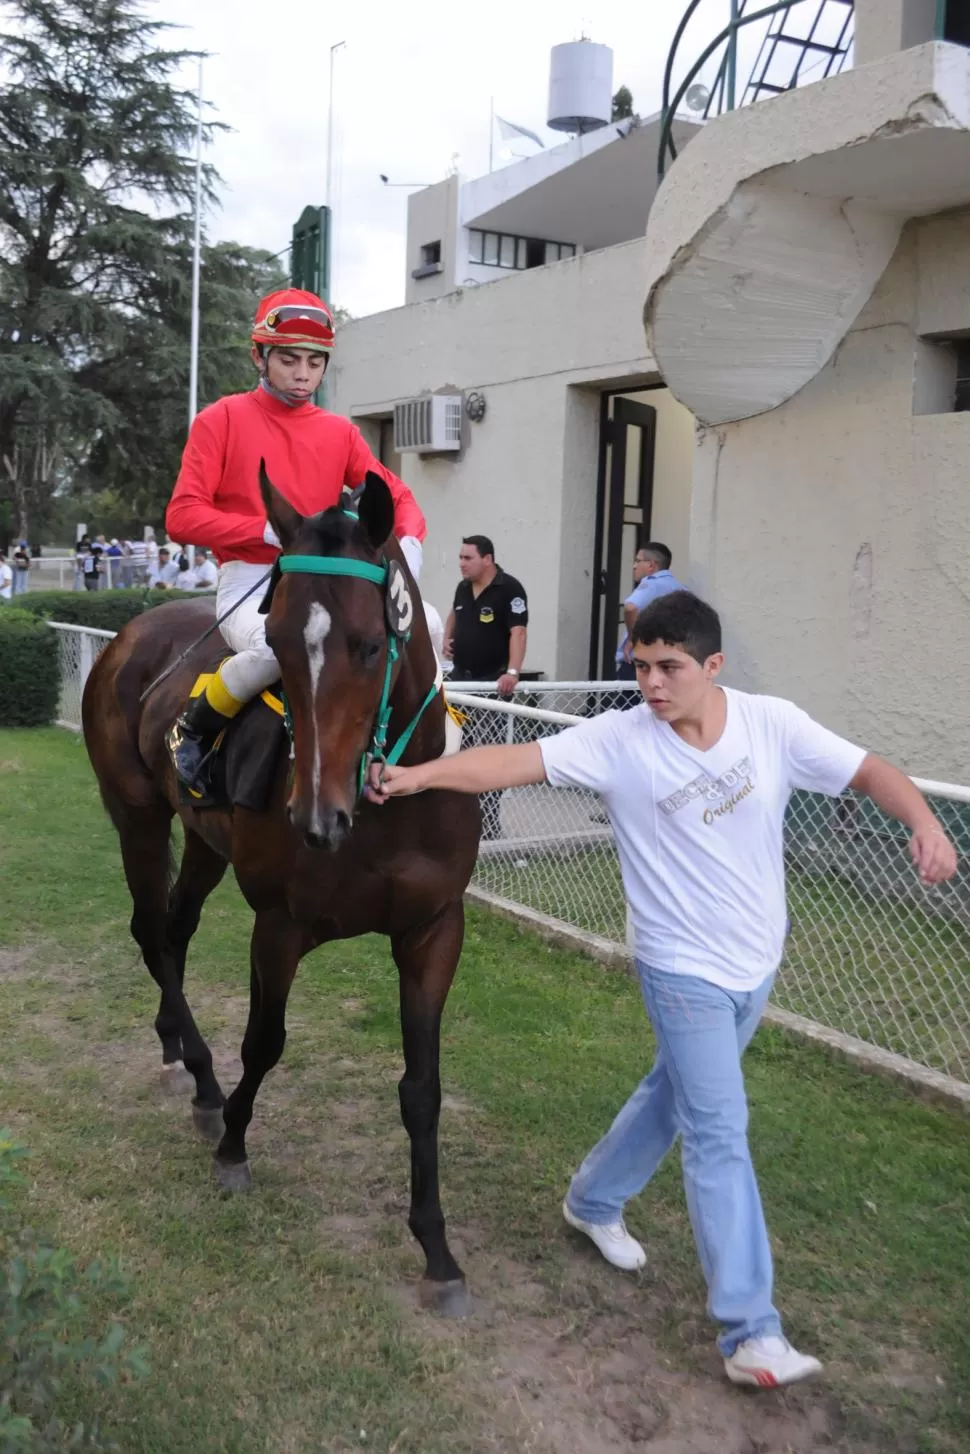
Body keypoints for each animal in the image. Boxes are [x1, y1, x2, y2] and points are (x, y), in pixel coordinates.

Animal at [82, 471, 482, 1314]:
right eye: (279, 644)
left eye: (371, 645)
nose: (315, 818)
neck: (387, 805)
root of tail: (132, 634)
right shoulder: (280, 923)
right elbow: (264, 1042)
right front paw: (235, 1143)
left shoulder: (433, 930)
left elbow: (422, 1088)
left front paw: (437, 1249)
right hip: (137, 815)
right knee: (151, 931)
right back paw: (204, 1082)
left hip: (203, 844)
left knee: (174, 927)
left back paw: (176, 1046)